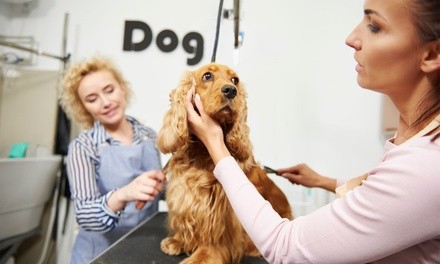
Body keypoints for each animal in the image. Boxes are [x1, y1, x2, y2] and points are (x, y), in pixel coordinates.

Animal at [157, 63, 292, 262]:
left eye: (235, 80)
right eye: (207, 76)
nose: (231, 90)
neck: (201, 152)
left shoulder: (220, 213)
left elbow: (214, 242)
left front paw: (201, 258)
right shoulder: (182, 194)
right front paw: (177, 241)